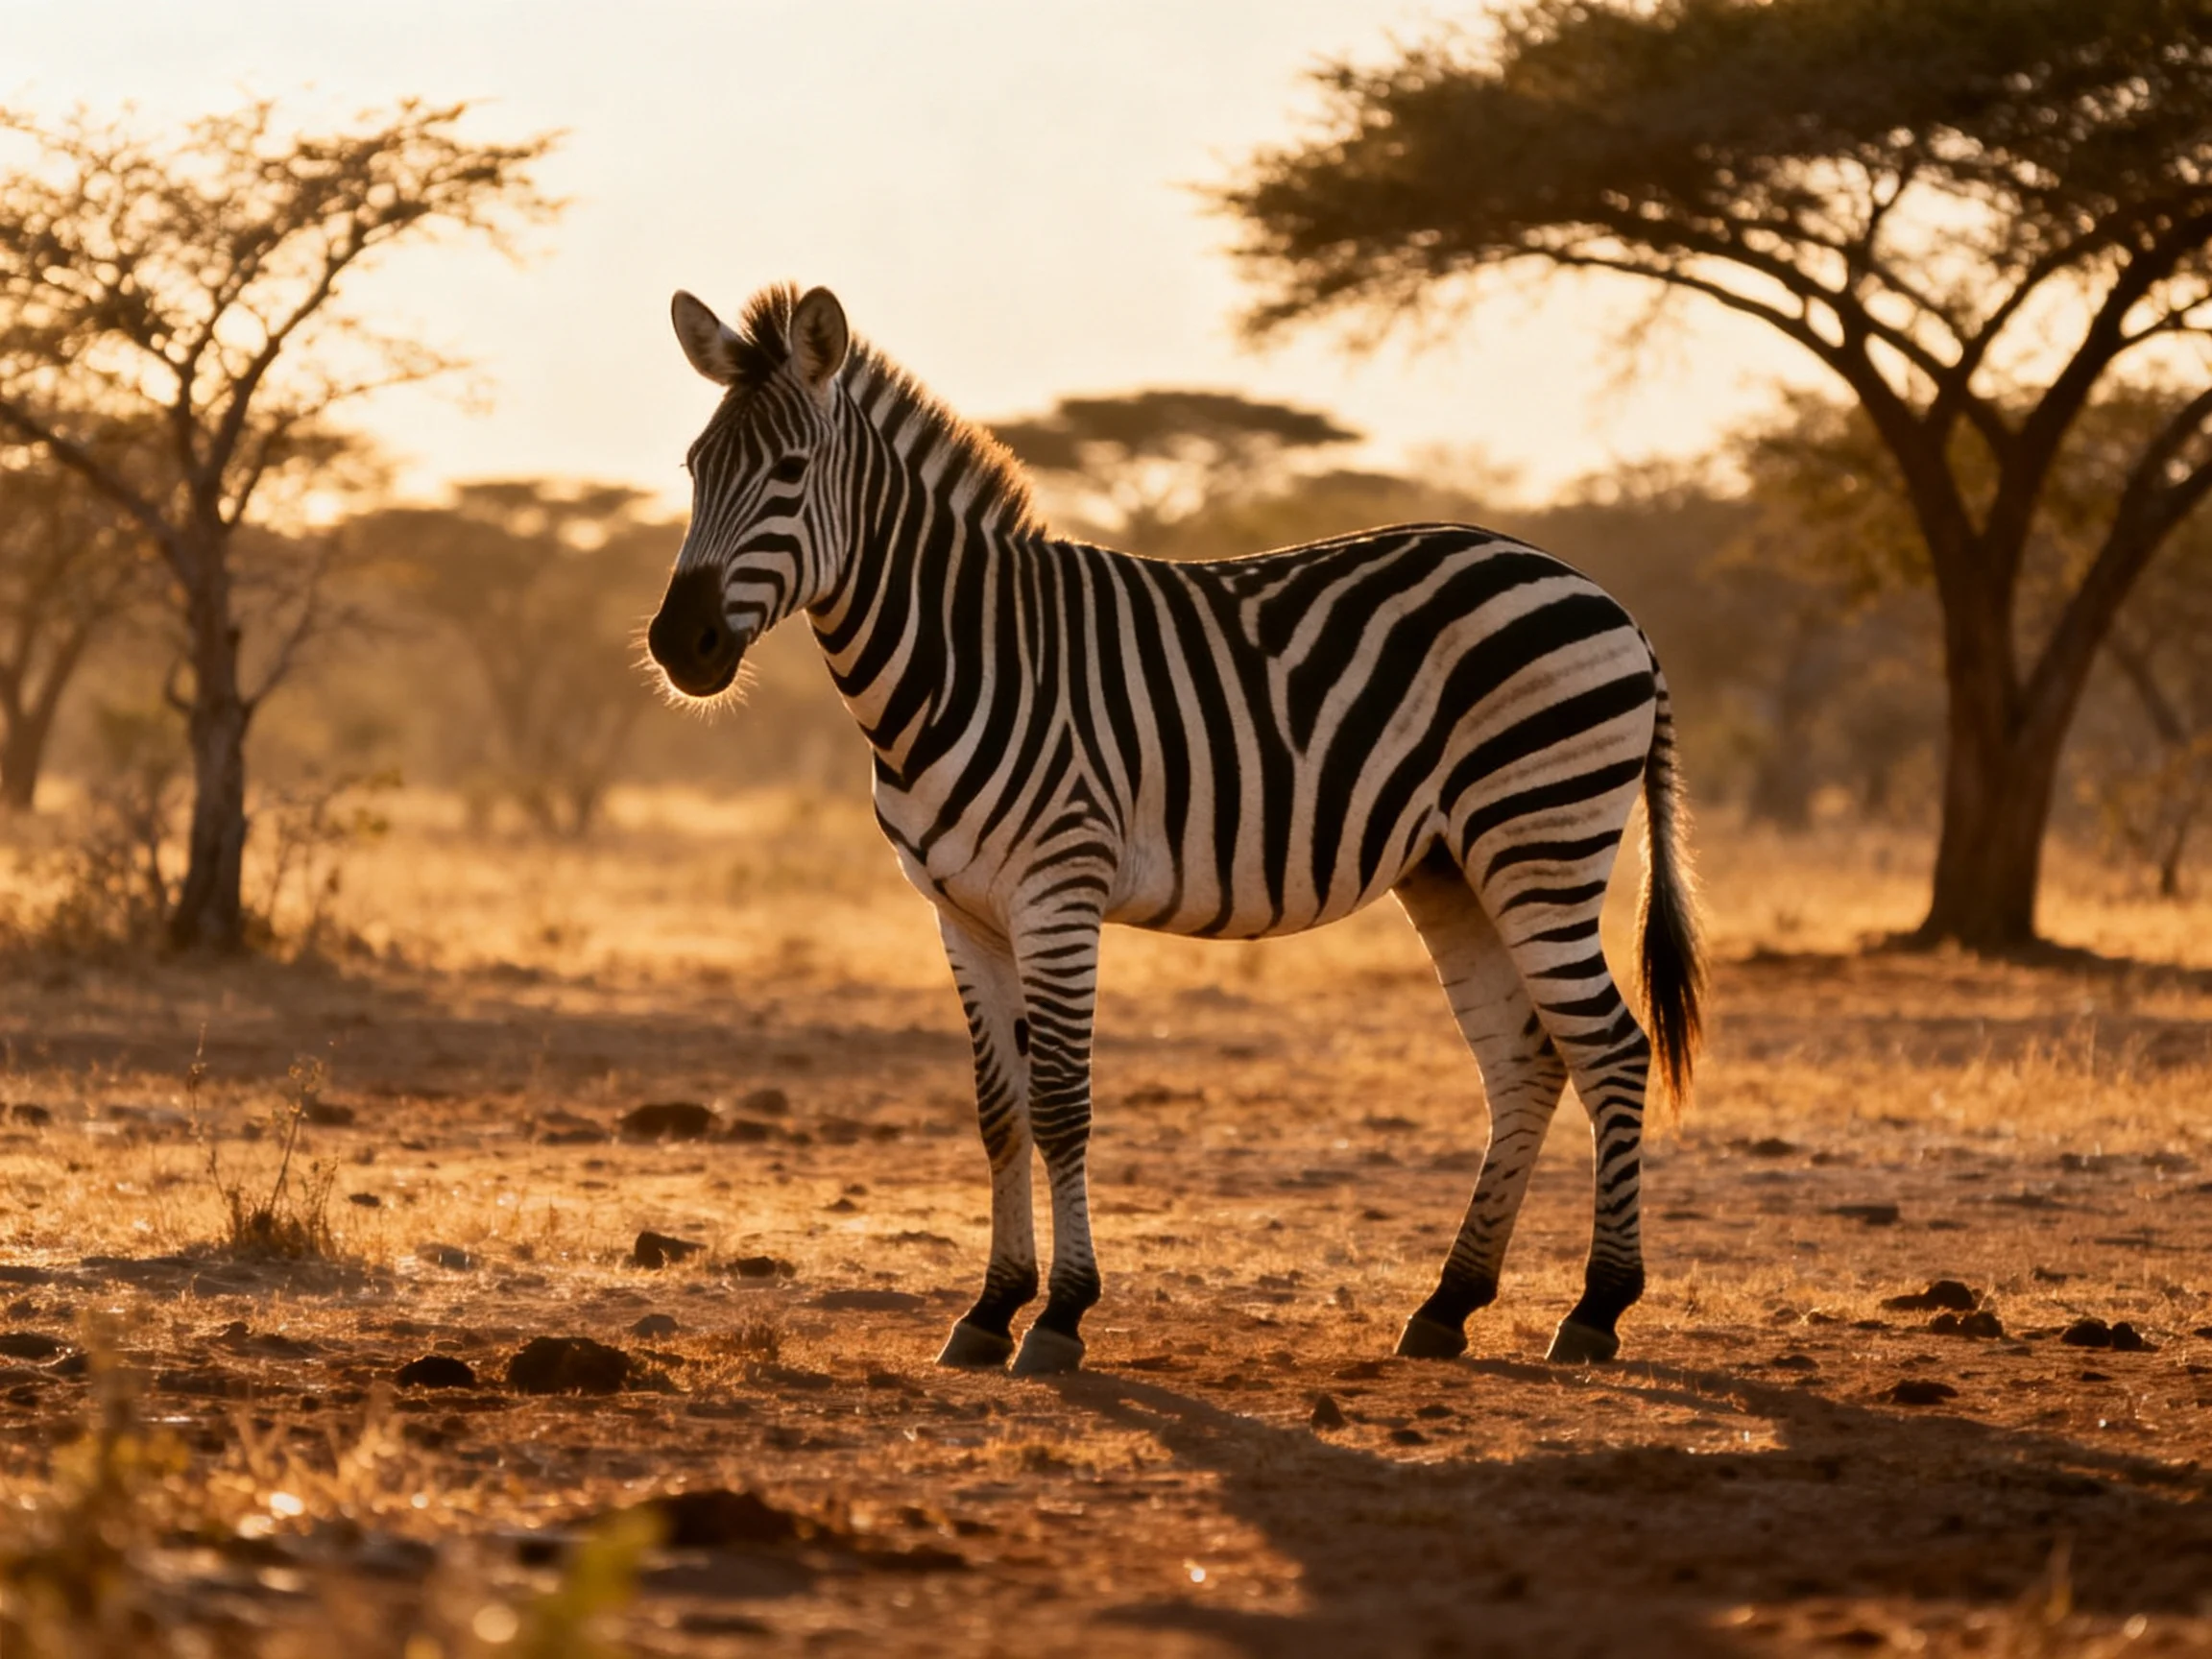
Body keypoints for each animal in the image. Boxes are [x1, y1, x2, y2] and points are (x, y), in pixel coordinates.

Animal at [647, 282, 1703, 1378]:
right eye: (692, 468)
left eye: (788, 473)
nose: (678, 647)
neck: (959, 658)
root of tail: (1603, 598)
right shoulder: (961, 912)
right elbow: (999, 1111)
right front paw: (990, 1308)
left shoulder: (1058, 891)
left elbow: (1062, 1105)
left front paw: (1060, 1317)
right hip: (1454, 869)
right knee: (1526, 1061)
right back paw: (1448, 1304)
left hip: (1541, 840)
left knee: (1613, 1050)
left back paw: (1597, 1309)